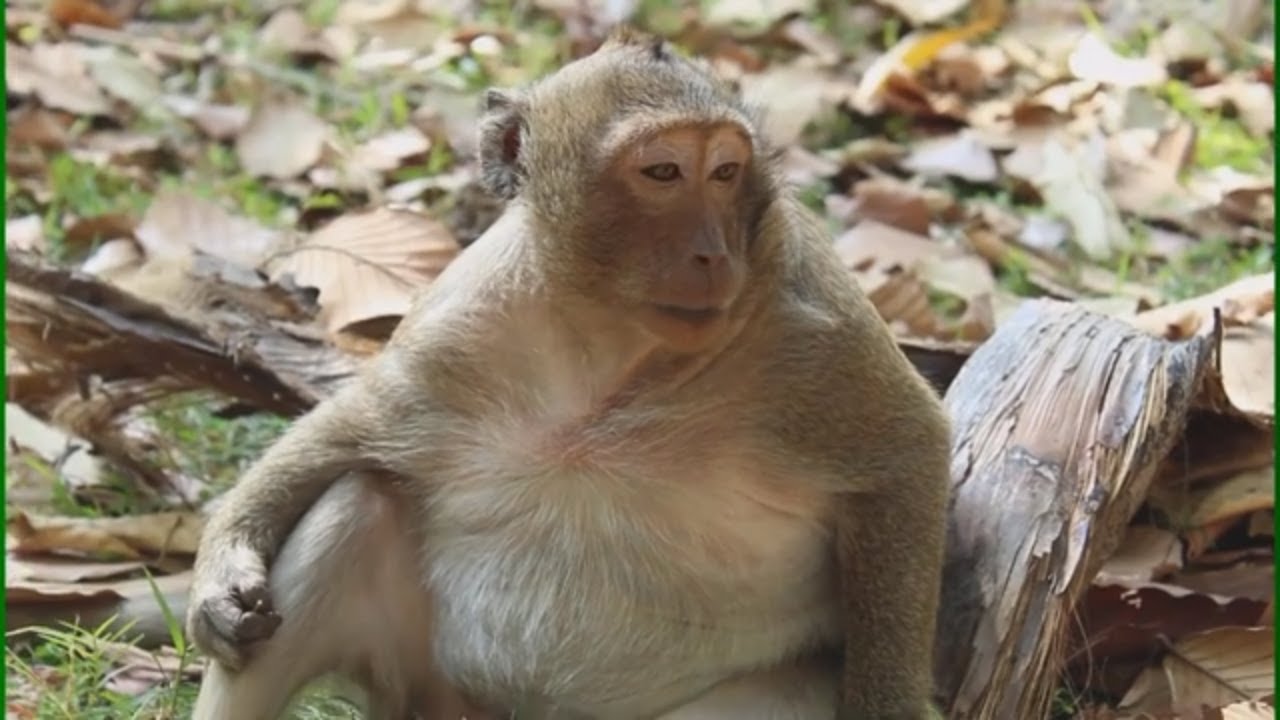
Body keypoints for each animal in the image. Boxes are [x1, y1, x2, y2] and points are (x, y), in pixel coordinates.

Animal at [186, 27, 951, 720]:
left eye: (726, 172)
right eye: (664, 172)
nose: (712, 253)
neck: (610, 349)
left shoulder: (815, 333)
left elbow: (907, 459)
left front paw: (887, 704)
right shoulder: (455, 329)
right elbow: (348, 434)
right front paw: (221, 578)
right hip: (430, 694)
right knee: (358, 505)